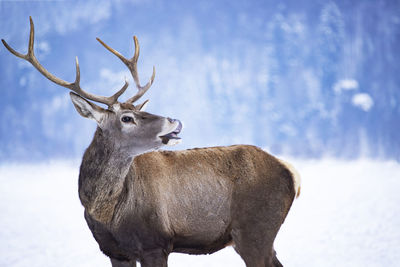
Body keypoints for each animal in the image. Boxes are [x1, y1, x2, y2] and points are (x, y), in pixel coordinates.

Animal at [2, 17, 300, 266]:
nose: (175, 121)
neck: (108, 213)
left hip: (255, 230)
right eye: (127, 118)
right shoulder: (114, 251)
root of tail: (292, 174)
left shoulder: (155, 243)